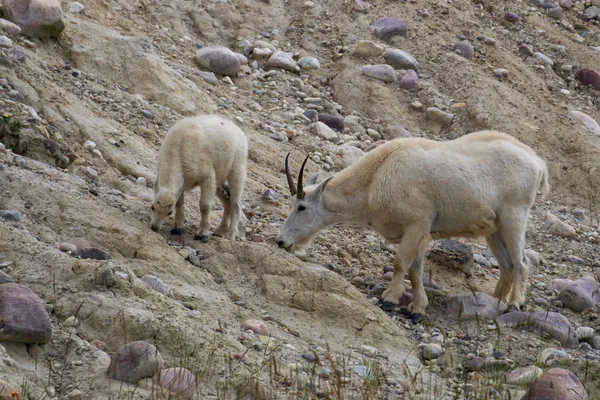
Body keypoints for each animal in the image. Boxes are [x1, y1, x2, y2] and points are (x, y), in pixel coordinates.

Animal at [151, 114, 247, 242]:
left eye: (169, 213)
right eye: (152, 207)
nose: (154, 227)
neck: (178, 151)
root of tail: (238, 130)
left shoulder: (207, 177)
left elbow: (204, 206)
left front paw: (202, 234)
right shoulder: (181, 183)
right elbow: (179, 202)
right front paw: (178, 228)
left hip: (237, 169)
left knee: (236, 203)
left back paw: (231, 234)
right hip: (219, 178)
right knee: (227, 200)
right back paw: (220, 231)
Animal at [276, 130, 548, 324]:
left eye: (302, 207)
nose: (281, 241)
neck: (376, 178)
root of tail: (538, 162)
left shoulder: (417, 225)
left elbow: (400, 264)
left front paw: (389, 299)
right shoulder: (420, 234)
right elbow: (416, 272)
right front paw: (417, 309)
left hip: (514, 217)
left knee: (522, 263)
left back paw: (514, 304)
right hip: (494, 228)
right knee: (507, 265)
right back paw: (494, 302)